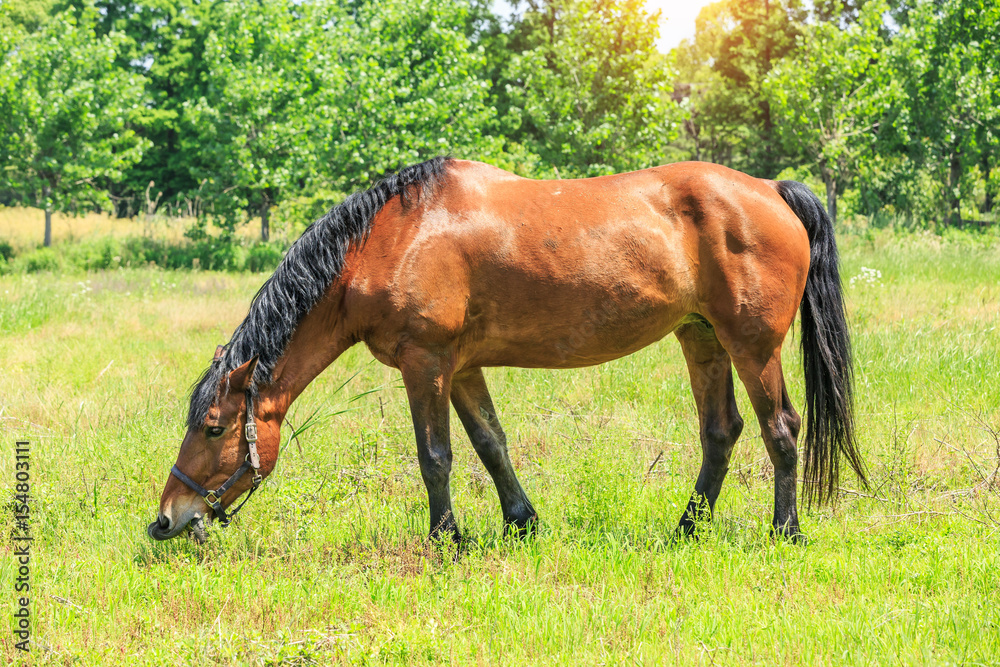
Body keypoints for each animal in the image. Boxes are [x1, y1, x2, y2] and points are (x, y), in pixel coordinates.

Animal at [146, 158, 868, 548]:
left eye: (213, 427)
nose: (166, 520)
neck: (393, 239)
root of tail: (771, 189)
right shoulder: (463, 368)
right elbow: (491, 444)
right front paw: (522, 522)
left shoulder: (427, 364)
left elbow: (435, 457)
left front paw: (446, 538)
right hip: (702, 338)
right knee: (721, 432)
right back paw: (686, 529)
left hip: (752, 345)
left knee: (781, 429)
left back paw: (785, 530)